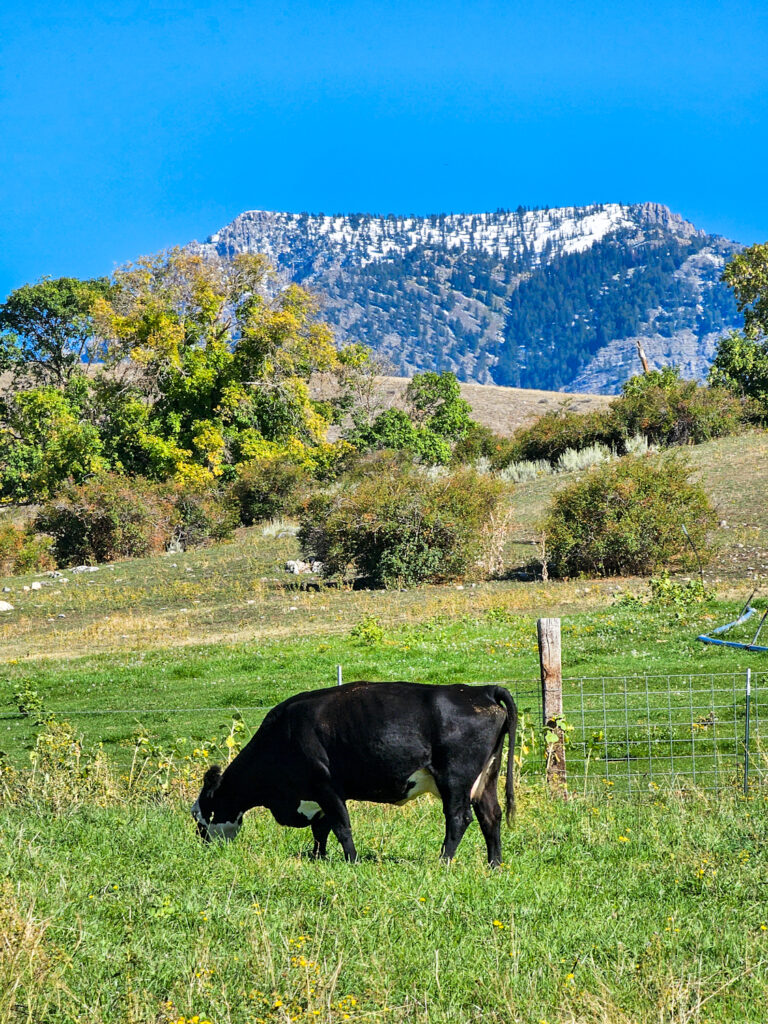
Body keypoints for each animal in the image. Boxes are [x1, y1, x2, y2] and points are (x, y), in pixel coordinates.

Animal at [192, 680, 517, 866]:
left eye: (200, 815)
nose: (203, 846)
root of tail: (480, 690)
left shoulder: (326, 786)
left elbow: (340, 826)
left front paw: (352, 861)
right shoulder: (317, 796)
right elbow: (321, 829)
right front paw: (318, 857)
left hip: (455, 779)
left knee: (459, 819)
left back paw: (443, 862)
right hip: (485, 778)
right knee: (491, 816)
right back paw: (494, 864)